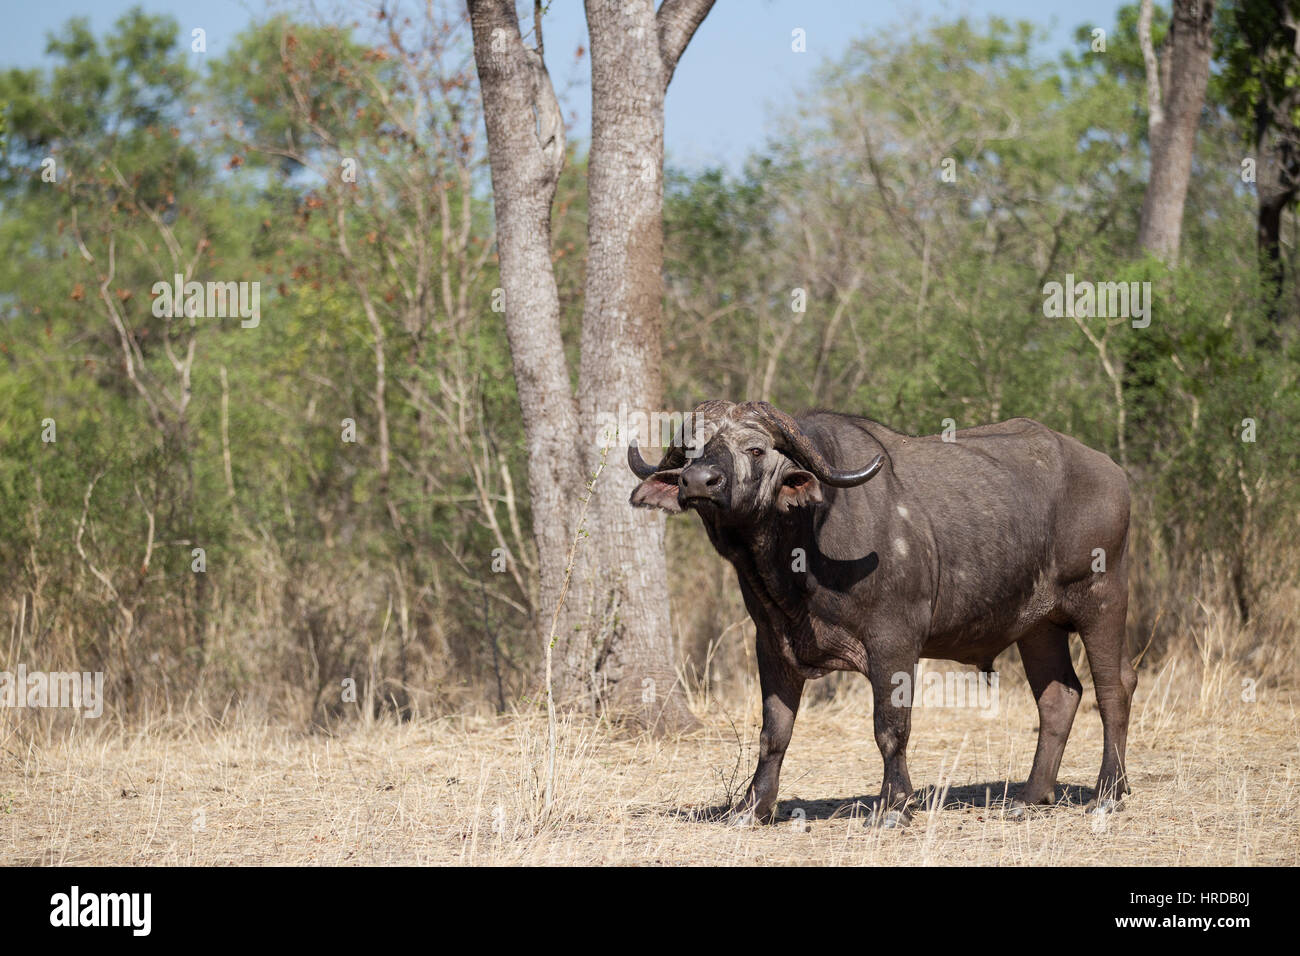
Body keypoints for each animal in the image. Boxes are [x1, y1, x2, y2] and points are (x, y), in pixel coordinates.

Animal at [624, 400, 1133, 827]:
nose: (698, 482)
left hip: (1104, 600)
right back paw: (1030, 795)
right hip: (1038, 627)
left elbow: (891, 727)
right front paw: (752, 808)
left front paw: (893, 806)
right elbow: (773, 733)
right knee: (1059, 696)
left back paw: (1108, 792)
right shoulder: (771, 641)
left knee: (1114, 690)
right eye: (693, 448)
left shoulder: (894, 641)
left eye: (754, 448)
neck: (805, 543)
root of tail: (1113, 472)